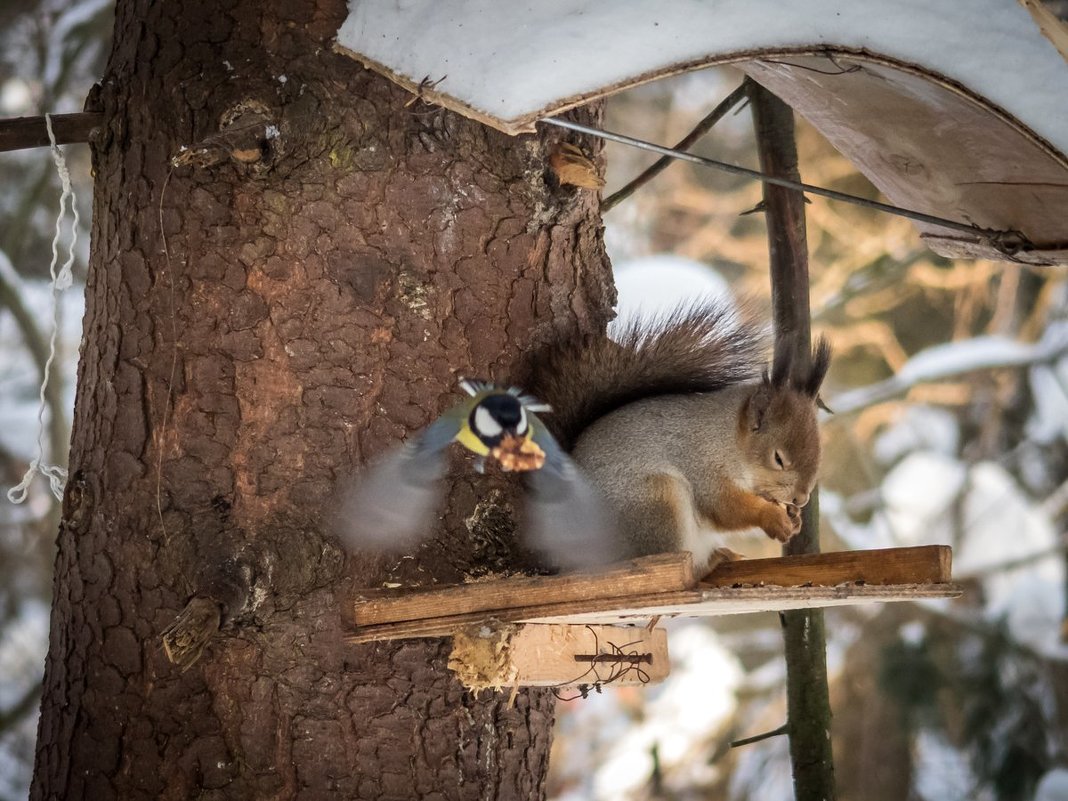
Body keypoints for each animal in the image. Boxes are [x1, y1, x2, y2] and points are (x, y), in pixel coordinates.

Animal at [529, 303, 828, 576]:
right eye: (778, 458)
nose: (801, 499)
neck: (727, 438)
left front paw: (794, 519)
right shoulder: (701, 464)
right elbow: (725, 506)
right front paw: (773, 518)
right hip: (656, 504)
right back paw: (705, 565)